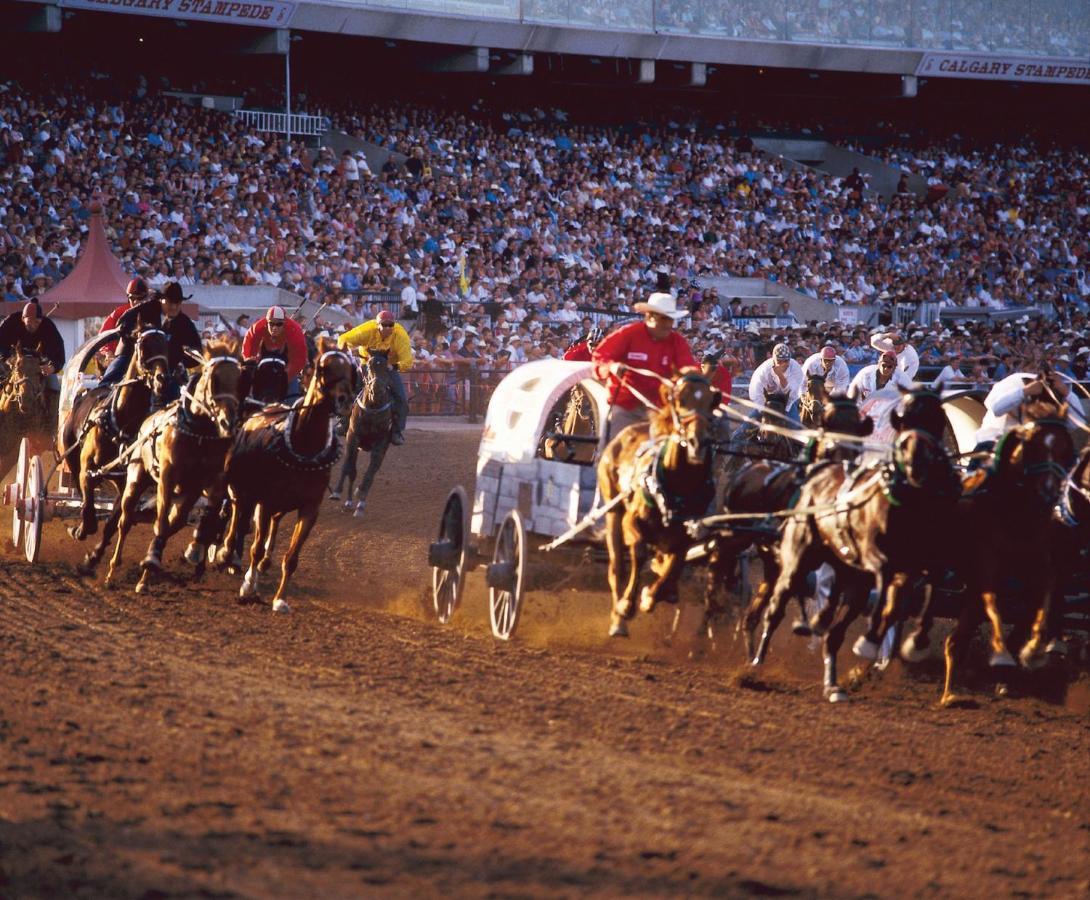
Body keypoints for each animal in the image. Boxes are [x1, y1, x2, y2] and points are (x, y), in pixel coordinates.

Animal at [62, 326, 170, 542]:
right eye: (143, 347)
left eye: (167, 346)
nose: (162, 380)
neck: (120, 421)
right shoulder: (86, 469)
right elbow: (88, 508)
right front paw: (80, 529)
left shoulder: (127, 480)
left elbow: (110, 521)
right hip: (70, 454)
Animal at [101, 342, 244, 588]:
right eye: (213, 379)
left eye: (239, 381)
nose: (228, 422)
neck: (198, 432)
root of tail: (146, 421)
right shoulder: (167, 477)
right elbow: (160, 523)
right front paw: (151, 559)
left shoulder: (210, 482)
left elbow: (212, 511)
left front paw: (201, 550)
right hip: (136, 480)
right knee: (126, 520)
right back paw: (113, 570)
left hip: (183, 496)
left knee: (173, 521)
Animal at [216, 344, 357, 610]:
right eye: (323, 368)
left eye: (351, 370)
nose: (345, 401)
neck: (304, 448)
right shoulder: (265, 501)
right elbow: (255, 546)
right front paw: (248, 587)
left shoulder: (310, 508)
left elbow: (291, 558)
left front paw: (280, 599)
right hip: (242, 489)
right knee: (236, 513)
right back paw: (225, 554)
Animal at [333, 348, 398, 516]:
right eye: (368, 366)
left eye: (387, 368)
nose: (377, 390)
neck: (373, 407)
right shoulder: (352, 436)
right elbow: (348, 467)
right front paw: (337, 492)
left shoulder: (381, 443)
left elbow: (370, 472)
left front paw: (360, 496)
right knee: (351, 469)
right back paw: (348, 501)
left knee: (371, 470)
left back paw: (360, 502)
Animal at [597, 368, 723, 636]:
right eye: (680, 400)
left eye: (711, 402)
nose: (697, 442)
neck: (677, 486)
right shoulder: (632, 521)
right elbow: (639, 552)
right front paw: (627, 605)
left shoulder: (686, 535)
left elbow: (674, 565)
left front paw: (653, 595)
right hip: (613, 511)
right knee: (616, 567)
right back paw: (618, 620)